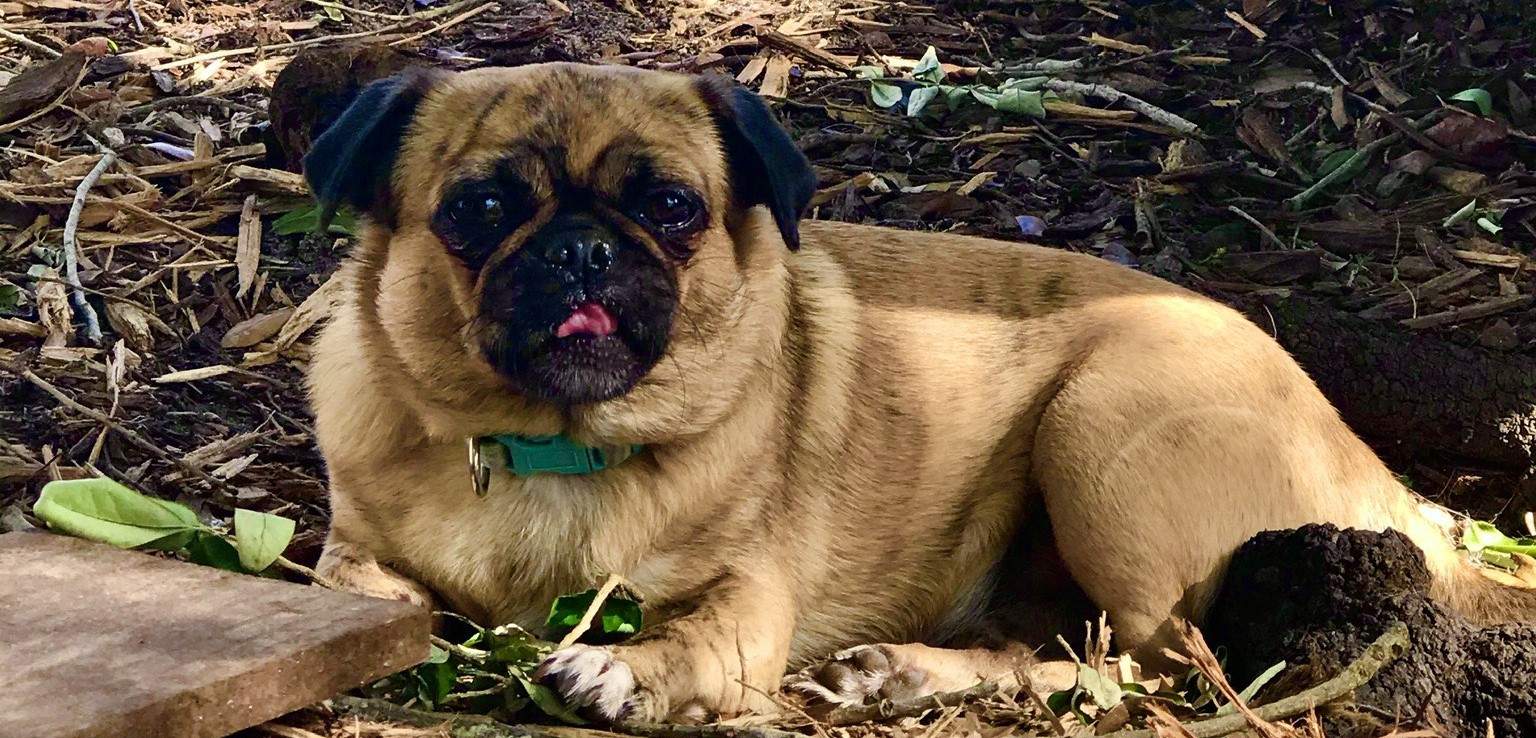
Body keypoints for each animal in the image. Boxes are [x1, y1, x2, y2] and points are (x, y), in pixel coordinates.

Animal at [302, 61, 1536, 719]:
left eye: (673, 209)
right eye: (477, 212)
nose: (580, 251)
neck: (551, 445)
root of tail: (1371, 473)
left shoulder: (747, 602)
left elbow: (692, 642)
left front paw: (619, 668)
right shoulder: (352, 552)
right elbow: (374, 598)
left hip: (1103, 436)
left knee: (1144, 670)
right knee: (1052, 650)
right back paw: (897, 672)